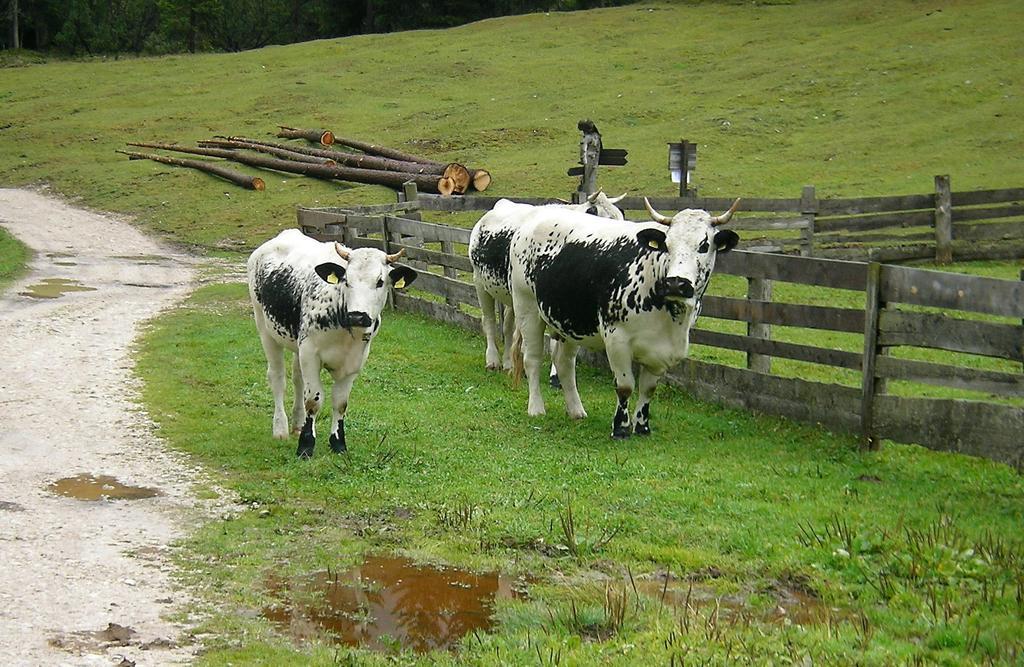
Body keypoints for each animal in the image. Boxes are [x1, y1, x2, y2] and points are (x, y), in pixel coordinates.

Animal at [245, 230, 417, 459]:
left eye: (380, 282)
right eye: (346, 280)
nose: (357, 315)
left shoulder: (354, 361)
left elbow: (340, 402)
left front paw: (338, 442)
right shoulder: (310, 353)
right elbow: (313, 400)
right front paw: (306, 445)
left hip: (296, 345)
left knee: (297, 379)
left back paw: (298, 423)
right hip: (265, 330)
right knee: (278, 378)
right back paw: (280, 428)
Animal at [468, 190, 622, 372]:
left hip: (512, 297)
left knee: (507, 325)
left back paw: (507, 363)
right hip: (480, 282)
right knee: (489, 321)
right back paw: (493, 360)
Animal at [509, 198, 737, 438]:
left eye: (704, 245)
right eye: (667, 244)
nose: (676, 282)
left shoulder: (661, 350)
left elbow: (648, 388)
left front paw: (643, 426)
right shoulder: (617, 339)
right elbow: (625, 386)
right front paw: (620, 427)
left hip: (568, 323)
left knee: (564, 363)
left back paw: (576, 410)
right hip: (527, 310)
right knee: (532, 359)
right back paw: (536, 408)